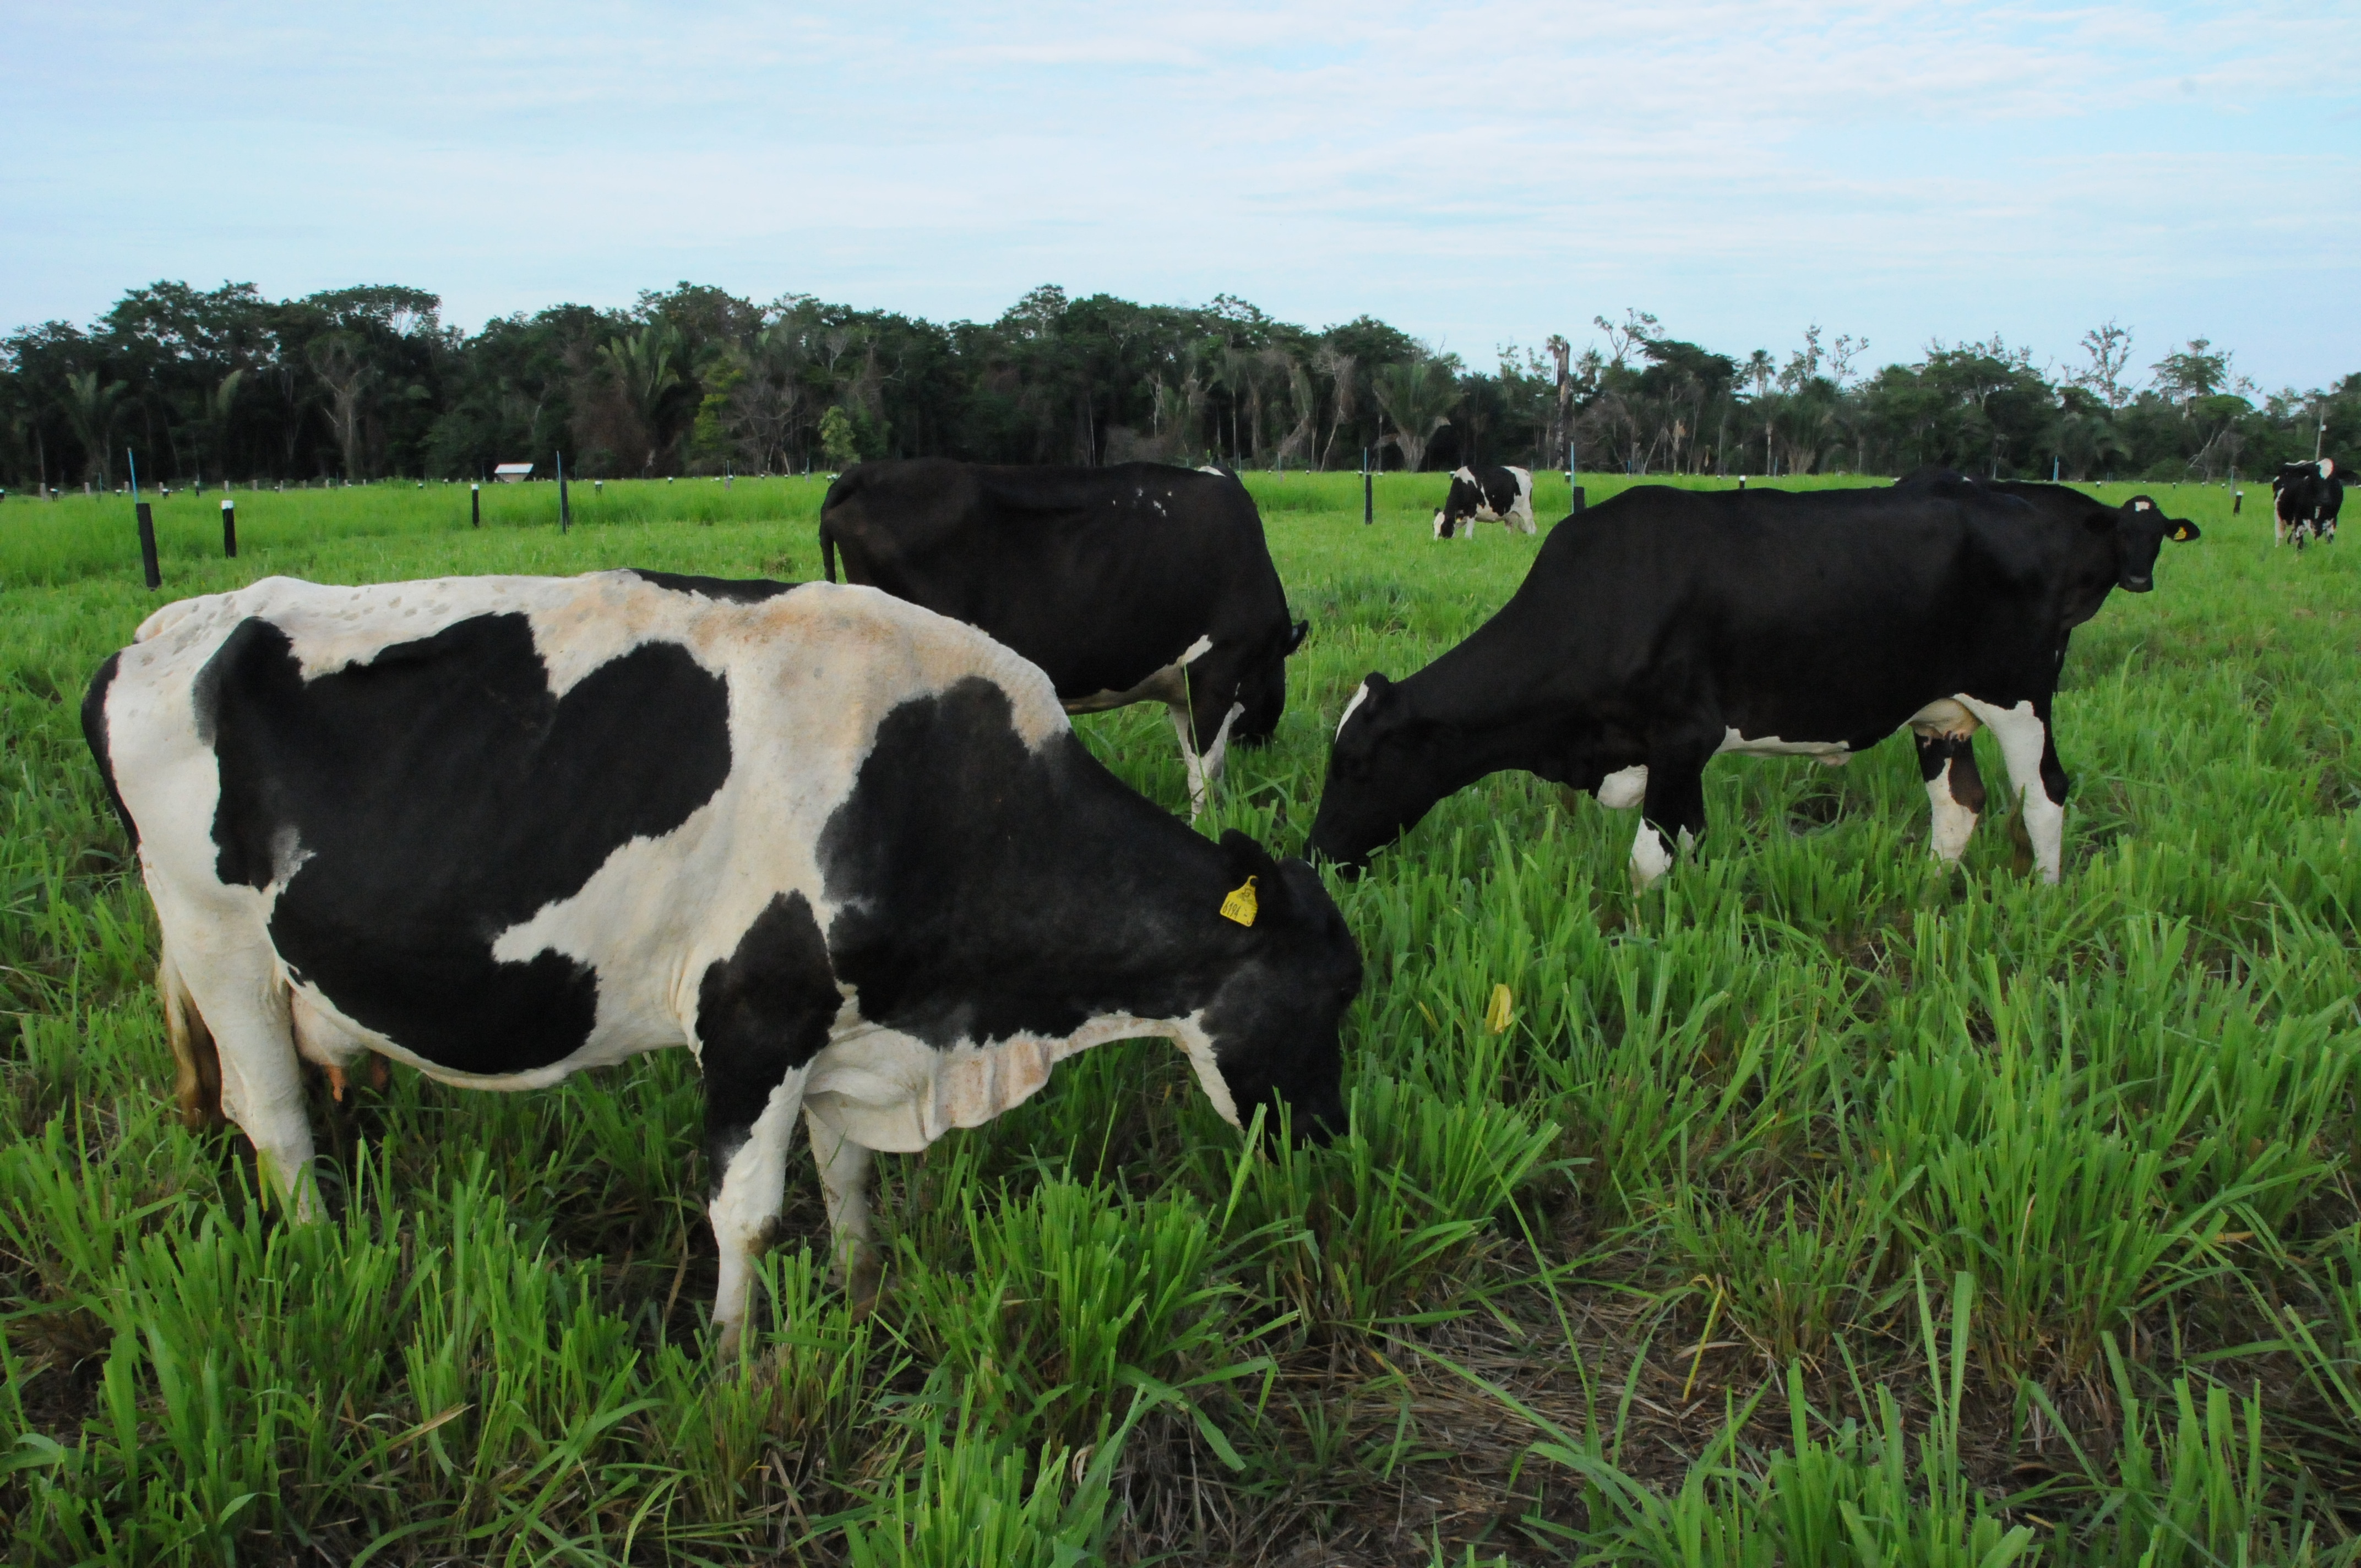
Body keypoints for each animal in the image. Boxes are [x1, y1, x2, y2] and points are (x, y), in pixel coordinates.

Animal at [87, 569, 1369, 1351]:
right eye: (1326, 995)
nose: (1328, 1143)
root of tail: (162, 629)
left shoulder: (847, 1030)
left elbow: (848, 1177)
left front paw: (858, 1296)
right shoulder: (756, 1015)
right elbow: (745, 1211)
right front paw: (733, 1358)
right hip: (219, 943)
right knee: (276, 1124)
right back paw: (323, 1261)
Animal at [1313, 472, 2191, 888]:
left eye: (1355, 764)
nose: (1318, 856)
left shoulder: (1681, 736)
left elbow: (1650, 859)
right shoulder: (1670, 756)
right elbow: (1690, 843)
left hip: (2020, 696)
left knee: (2044, 798)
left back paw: (2043, 895)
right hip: (1939, 711)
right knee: (1959, 804)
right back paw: (1929, 889)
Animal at [1426, 462, 1539, 543]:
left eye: (1444, 526)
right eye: (1433, 527)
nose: (1436, 541)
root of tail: (1525, 472)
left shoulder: (1472, 512)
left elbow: (1468, 535)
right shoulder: (1461, 516)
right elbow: (1455, 529)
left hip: (1526, 510)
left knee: (1531, 528)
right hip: (1510, 515)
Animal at [2266, 455, 2342, 548]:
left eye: (2333, 479)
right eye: (2314, 477)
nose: (2324, 500)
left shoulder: (2332, 522)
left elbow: (2329, 542)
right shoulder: (2299, 521)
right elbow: (2300, 545)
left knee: (2291, 539)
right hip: (2279, 515)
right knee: (2280, 537)